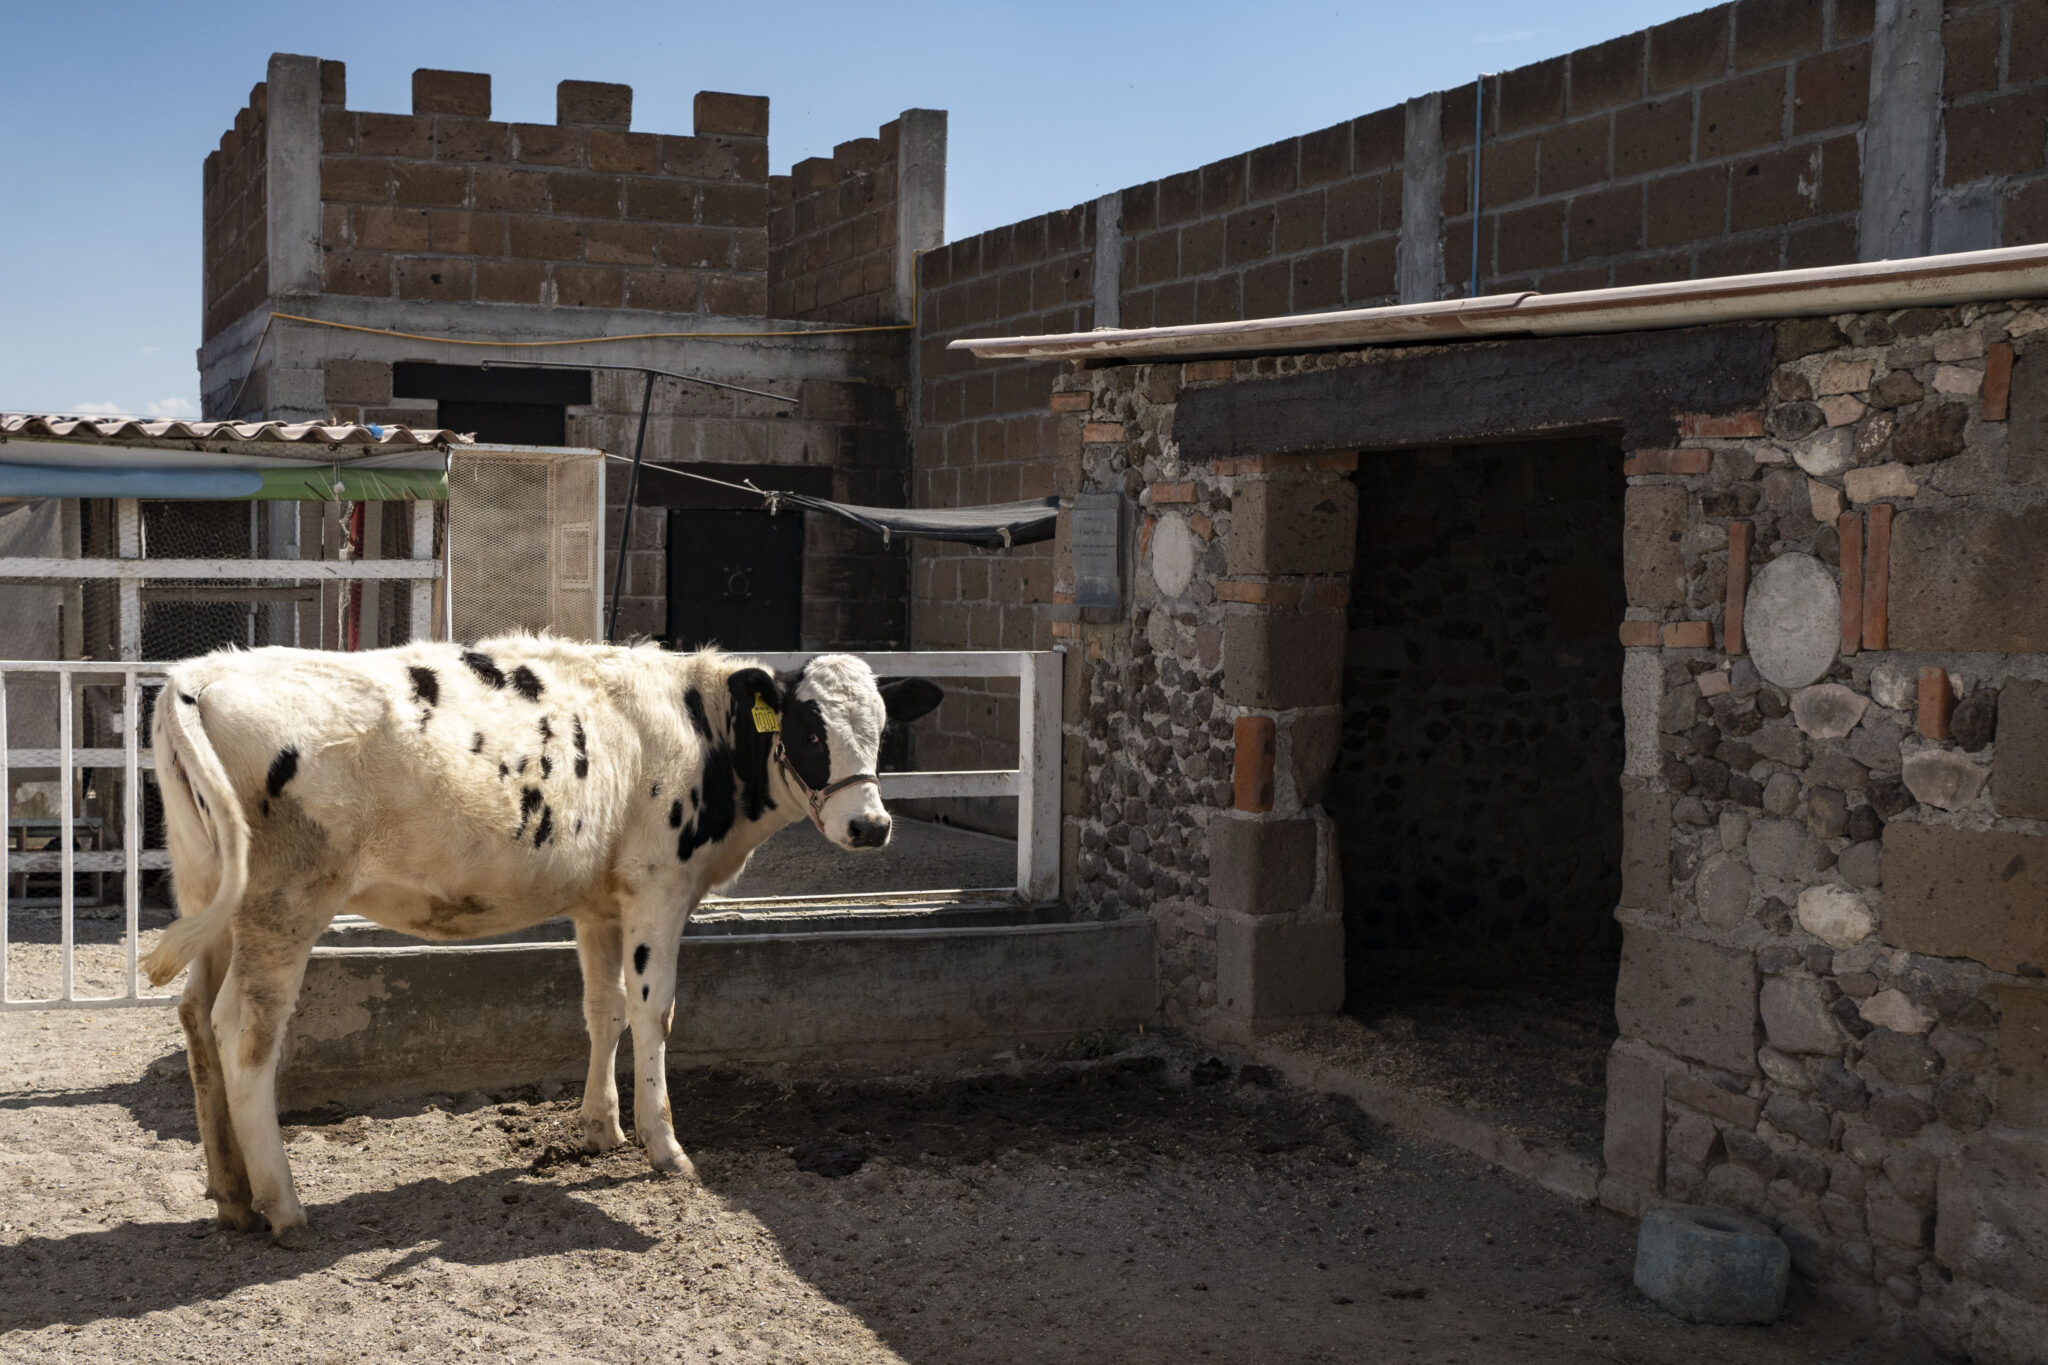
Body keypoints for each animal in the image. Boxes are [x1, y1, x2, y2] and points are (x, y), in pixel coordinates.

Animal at [140, 642, 937, 1252]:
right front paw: (663, 1144)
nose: (870, 825)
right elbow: (653, 1013)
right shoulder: (658, 886)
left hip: (212, 894)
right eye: (809, 730)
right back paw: (284, 1207)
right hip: (284, 903)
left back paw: (231, 1195)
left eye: (880, 730)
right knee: (244, 1032)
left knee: (194, 1018)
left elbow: (601, 1008)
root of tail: (203, 672)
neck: (697, 727)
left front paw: (599, 1127)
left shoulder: (598, 902)